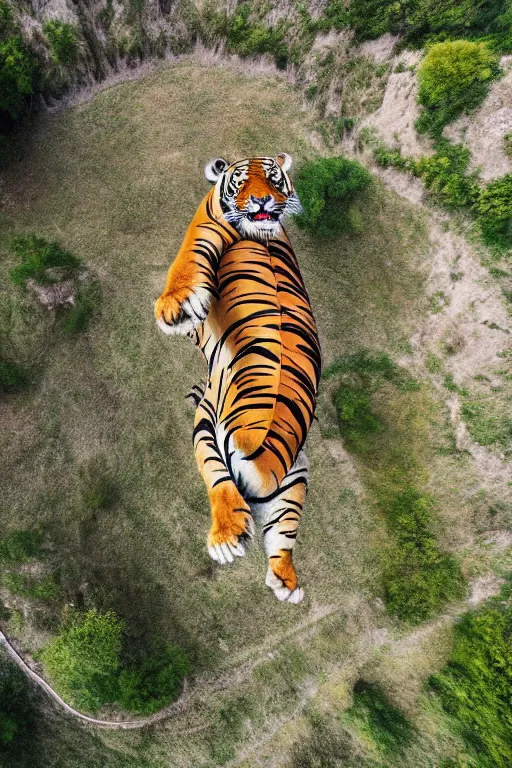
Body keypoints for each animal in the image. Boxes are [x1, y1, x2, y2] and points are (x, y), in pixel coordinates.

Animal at [154, 153, 320, 604]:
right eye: (245, 181)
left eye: (274, 178)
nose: (263, 200)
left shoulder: (205, 222)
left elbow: (187, 259)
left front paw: (174, 309)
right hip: (294, 482)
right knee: (282, 537)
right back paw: (286, 582)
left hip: (210, 431)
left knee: (220, 485)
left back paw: (226, 539)